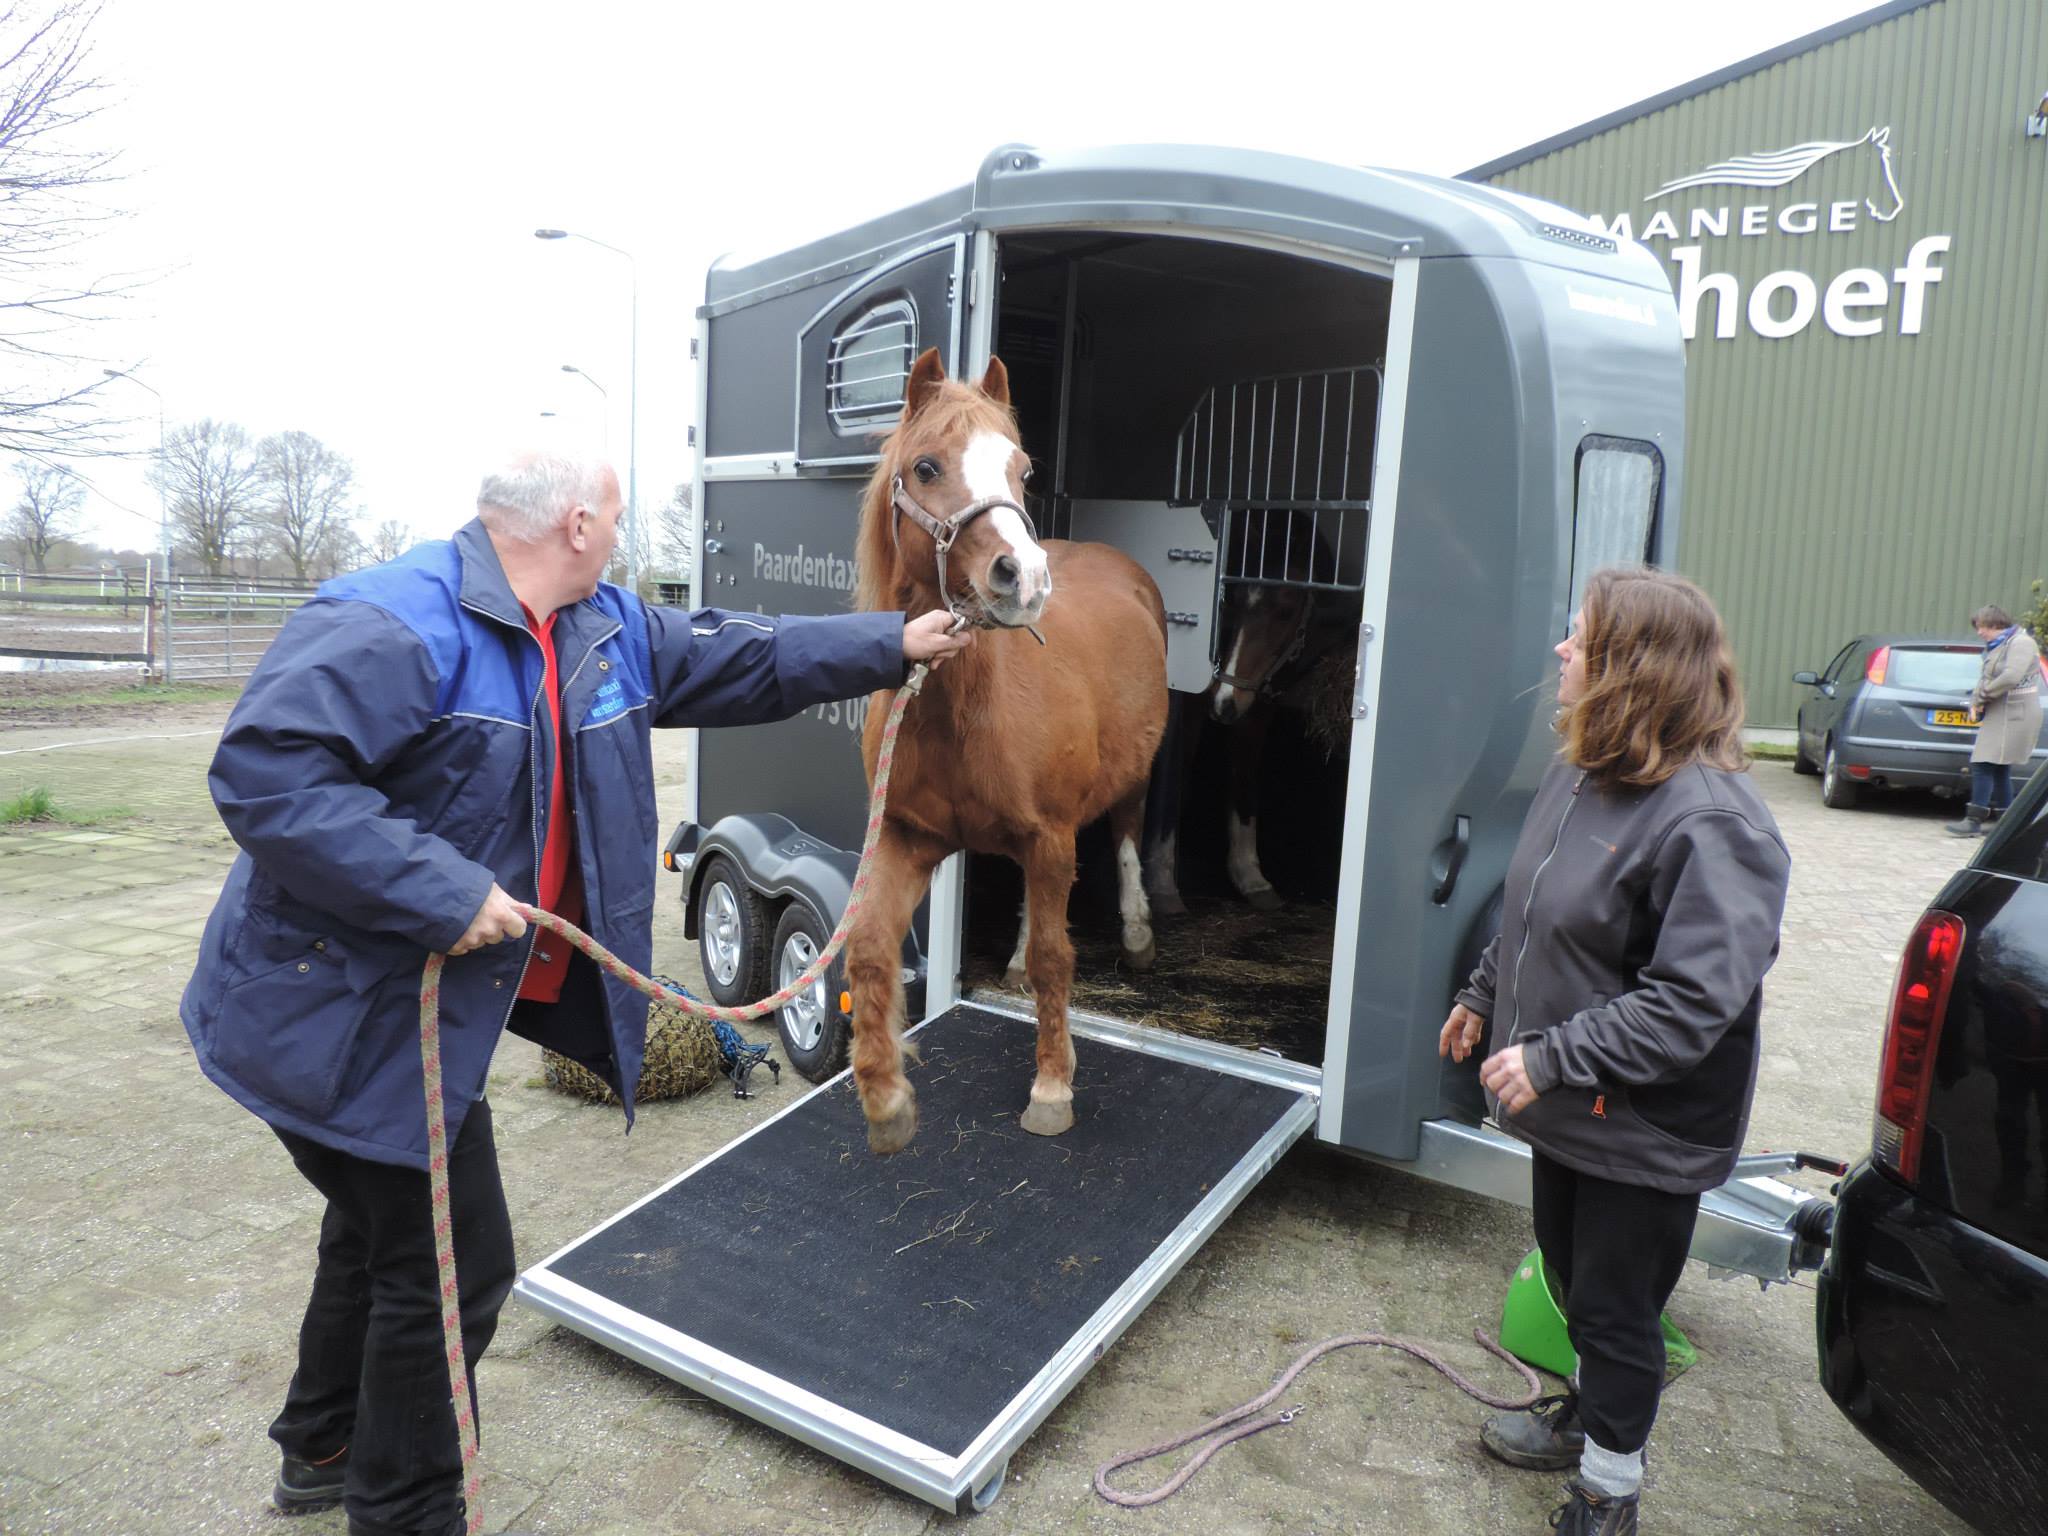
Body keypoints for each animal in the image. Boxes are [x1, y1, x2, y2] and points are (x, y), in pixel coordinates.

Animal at [847, 348, 1171, 1155]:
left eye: (1022, 469)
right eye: (927, 466)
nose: (1022, 579)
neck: (960, 711)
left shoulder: (1052, 835)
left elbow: (1061, 959)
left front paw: (1052, 1087)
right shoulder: (905, 839)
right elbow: (867, 946)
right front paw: (886, 1099)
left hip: (1129, 779)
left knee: (1124, 833)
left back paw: (1138, 930)